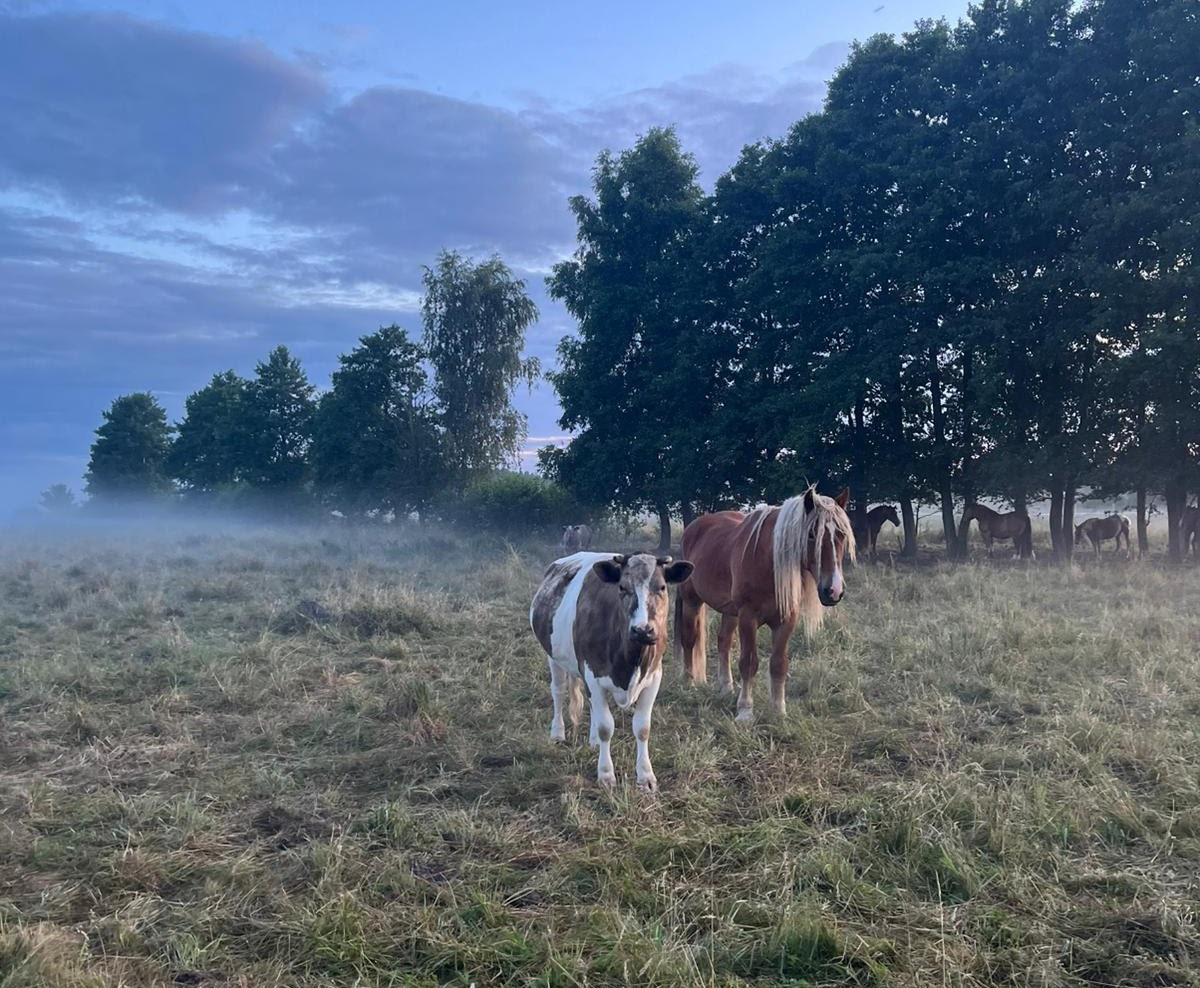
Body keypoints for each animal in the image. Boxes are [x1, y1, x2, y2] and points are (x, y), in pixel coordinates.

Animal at [529, 551, 693, 791]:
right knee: (558, 692)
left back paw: (593, 741)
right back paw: (557, 733)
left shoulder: (654, 677)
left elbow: (642, 727)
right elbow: (606, 727)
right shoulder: (592, 673)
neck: (631, 660)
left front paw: (646, 776)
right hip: (554, 657)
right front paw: (606, 775)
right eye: (622, 587)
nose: (643, 630)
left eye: (662, 587)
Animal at [675, 486, 855, 721]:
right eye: (812, 534)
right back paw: (689, 682)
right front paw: (745, 711)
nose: (834, 591)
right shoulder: (748, 617)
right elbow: (749, 662)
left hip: (730, 611)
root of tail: (694, 527)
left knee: (723, 641)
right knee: (689, 639)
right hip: (692, 601)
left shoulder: (786, 620)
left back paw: (726, 686)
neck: (768, 562)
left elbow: (779, 664)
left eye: (842, 534)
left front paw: (778, 710)